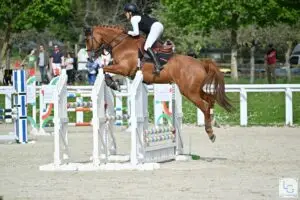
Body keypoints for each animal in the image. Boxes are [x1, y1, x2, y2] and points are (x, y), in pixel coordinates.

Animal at [84, 25, 232, 142]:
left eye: (87, 39)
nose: (89, 57)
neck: (121, 44)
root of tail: (201, 63)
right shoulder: (123, 70)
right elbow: (106, 70)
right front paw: (113, 83)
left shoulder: (124, 68)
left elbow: (103, 68)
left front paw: (112, 83)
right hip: (195, 90)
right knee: (210, 99)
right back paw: (213, 121)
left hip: (189, 92)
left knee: (205, 106)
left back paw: (210, 133)